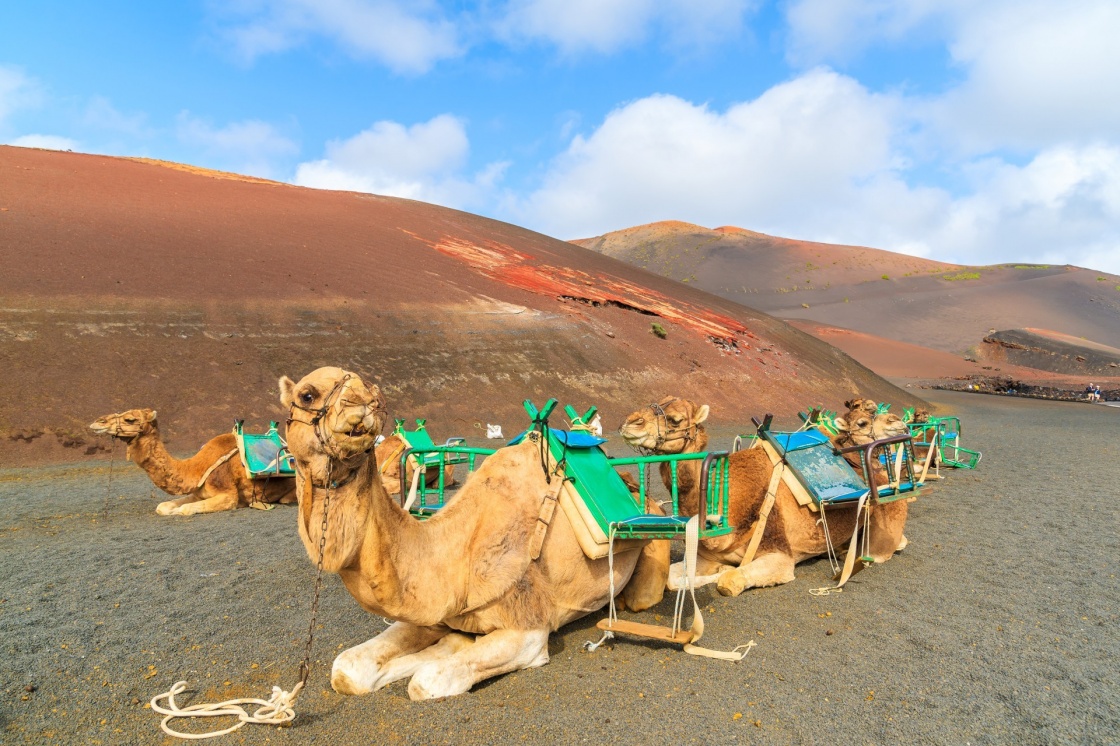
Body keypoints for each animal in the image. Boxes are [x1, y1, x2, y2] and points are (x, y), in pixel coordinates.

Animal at [89, 407, 295, 517]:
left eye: (129, 419)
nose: (98, 422)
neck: (197, 468)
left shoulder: (228, 494)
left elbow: (185, 509)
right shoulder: (198, 493)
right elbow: (163, 506)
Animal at [277, 365, 663, 698]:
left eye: (372, 390)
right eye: (306, 394)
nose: (362, 401)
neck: (455, 552)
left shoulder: (529, 632)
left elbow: (426, 680)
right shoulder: (436, 610)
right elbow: (347, 668)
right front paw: (448, 643)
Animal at [618, 398, 913, 595]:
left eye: (675, 419)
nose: (629, 423)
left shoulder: (780, 554)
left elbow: (729, 580)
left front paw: (724, 573)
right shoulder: (706, 556)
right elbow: (670, 577)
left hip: (884, 532)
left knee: (889, 547)